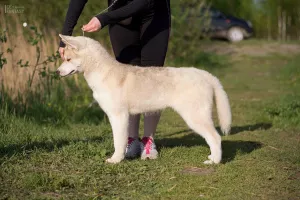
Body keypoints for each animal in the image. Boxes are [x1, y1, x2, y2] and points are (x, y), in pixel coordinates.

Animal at [56, 34, 232, 164]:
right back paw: (212, 157)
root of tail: (206, 75)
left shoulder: (118, 116)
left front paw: (115, 160)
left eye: (68, 59)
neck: (103, 72)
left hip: (195, 116)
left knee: (215, 137)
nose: (57, 72)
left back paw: (214, 161)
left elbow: (118, 141)